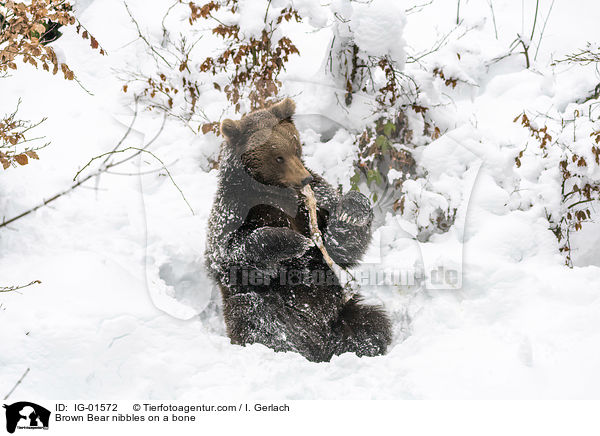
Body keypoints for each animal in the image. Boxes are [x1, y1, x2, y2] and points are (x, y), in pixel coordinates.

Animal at [206, 98, 394, 362]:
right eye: (278, 157)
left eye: (295, 146)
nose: (304, 179)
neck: (275, 192)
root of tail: (319, 342)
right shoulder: (234, 210)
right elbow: (230, 254)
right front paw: (291, 241)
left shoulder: (315, 203)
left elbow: (339, 247)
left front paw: (352, 210)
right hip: (265, 306)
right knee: (259, 321)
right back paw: (283, 346)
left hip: (341, 310)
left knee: (370, 323)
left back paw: (360, 346)